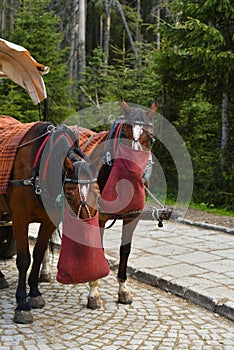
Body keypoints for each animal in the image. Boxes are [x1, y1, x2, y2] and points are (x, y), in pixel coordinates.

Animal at [0, 118, 98, 326]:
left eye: (97, 191)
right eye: (70, 194)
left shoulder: (48, 221)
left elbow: (38, 254)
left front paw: (35, 293)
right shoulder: (19, 219)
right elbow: (24, 259)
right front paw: (22, 303)